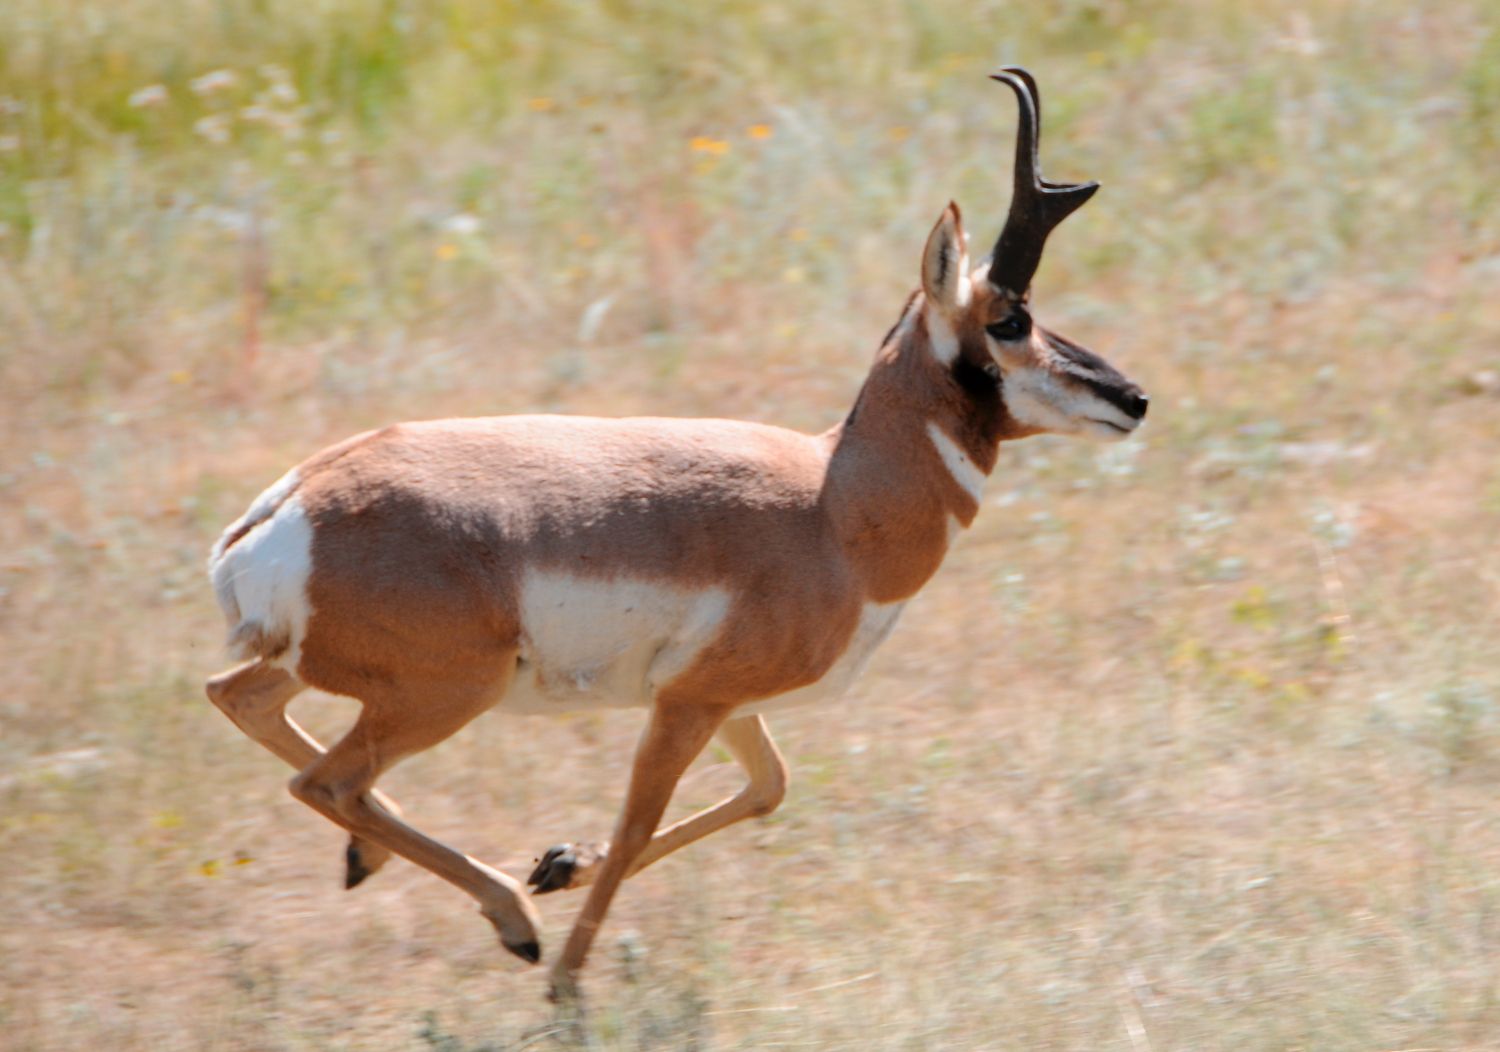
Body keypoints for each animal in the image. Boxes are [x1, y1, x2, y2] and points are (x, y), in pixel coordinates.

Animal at [205, 69, 1140, 996]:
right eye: (1009, 319)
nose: (1134, 399)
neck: (832, 500)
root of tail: (292, 504)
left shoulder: (726, 703)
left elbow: (766, 789)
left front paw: (558, 863)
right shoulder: (687, 703)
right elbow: (638, 824)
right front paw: (565, 983)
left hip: (348, 679)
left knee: (245, 702)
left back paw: (420, 876)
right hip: (446, 693)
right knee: (326, 780)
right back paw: (513, 924)